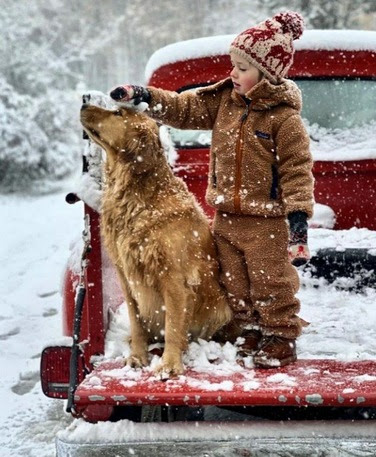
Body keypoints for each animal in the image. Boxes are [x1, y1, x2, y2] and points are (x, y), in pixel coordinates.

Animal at [81, 102, 231, 374]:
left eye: (118, 113)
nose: (84, 103)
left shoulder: (173, 277)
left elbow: (173, 325)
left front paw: (169, 365)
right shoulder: (126, 275)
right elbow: (136, 322)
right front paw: (137, 357)